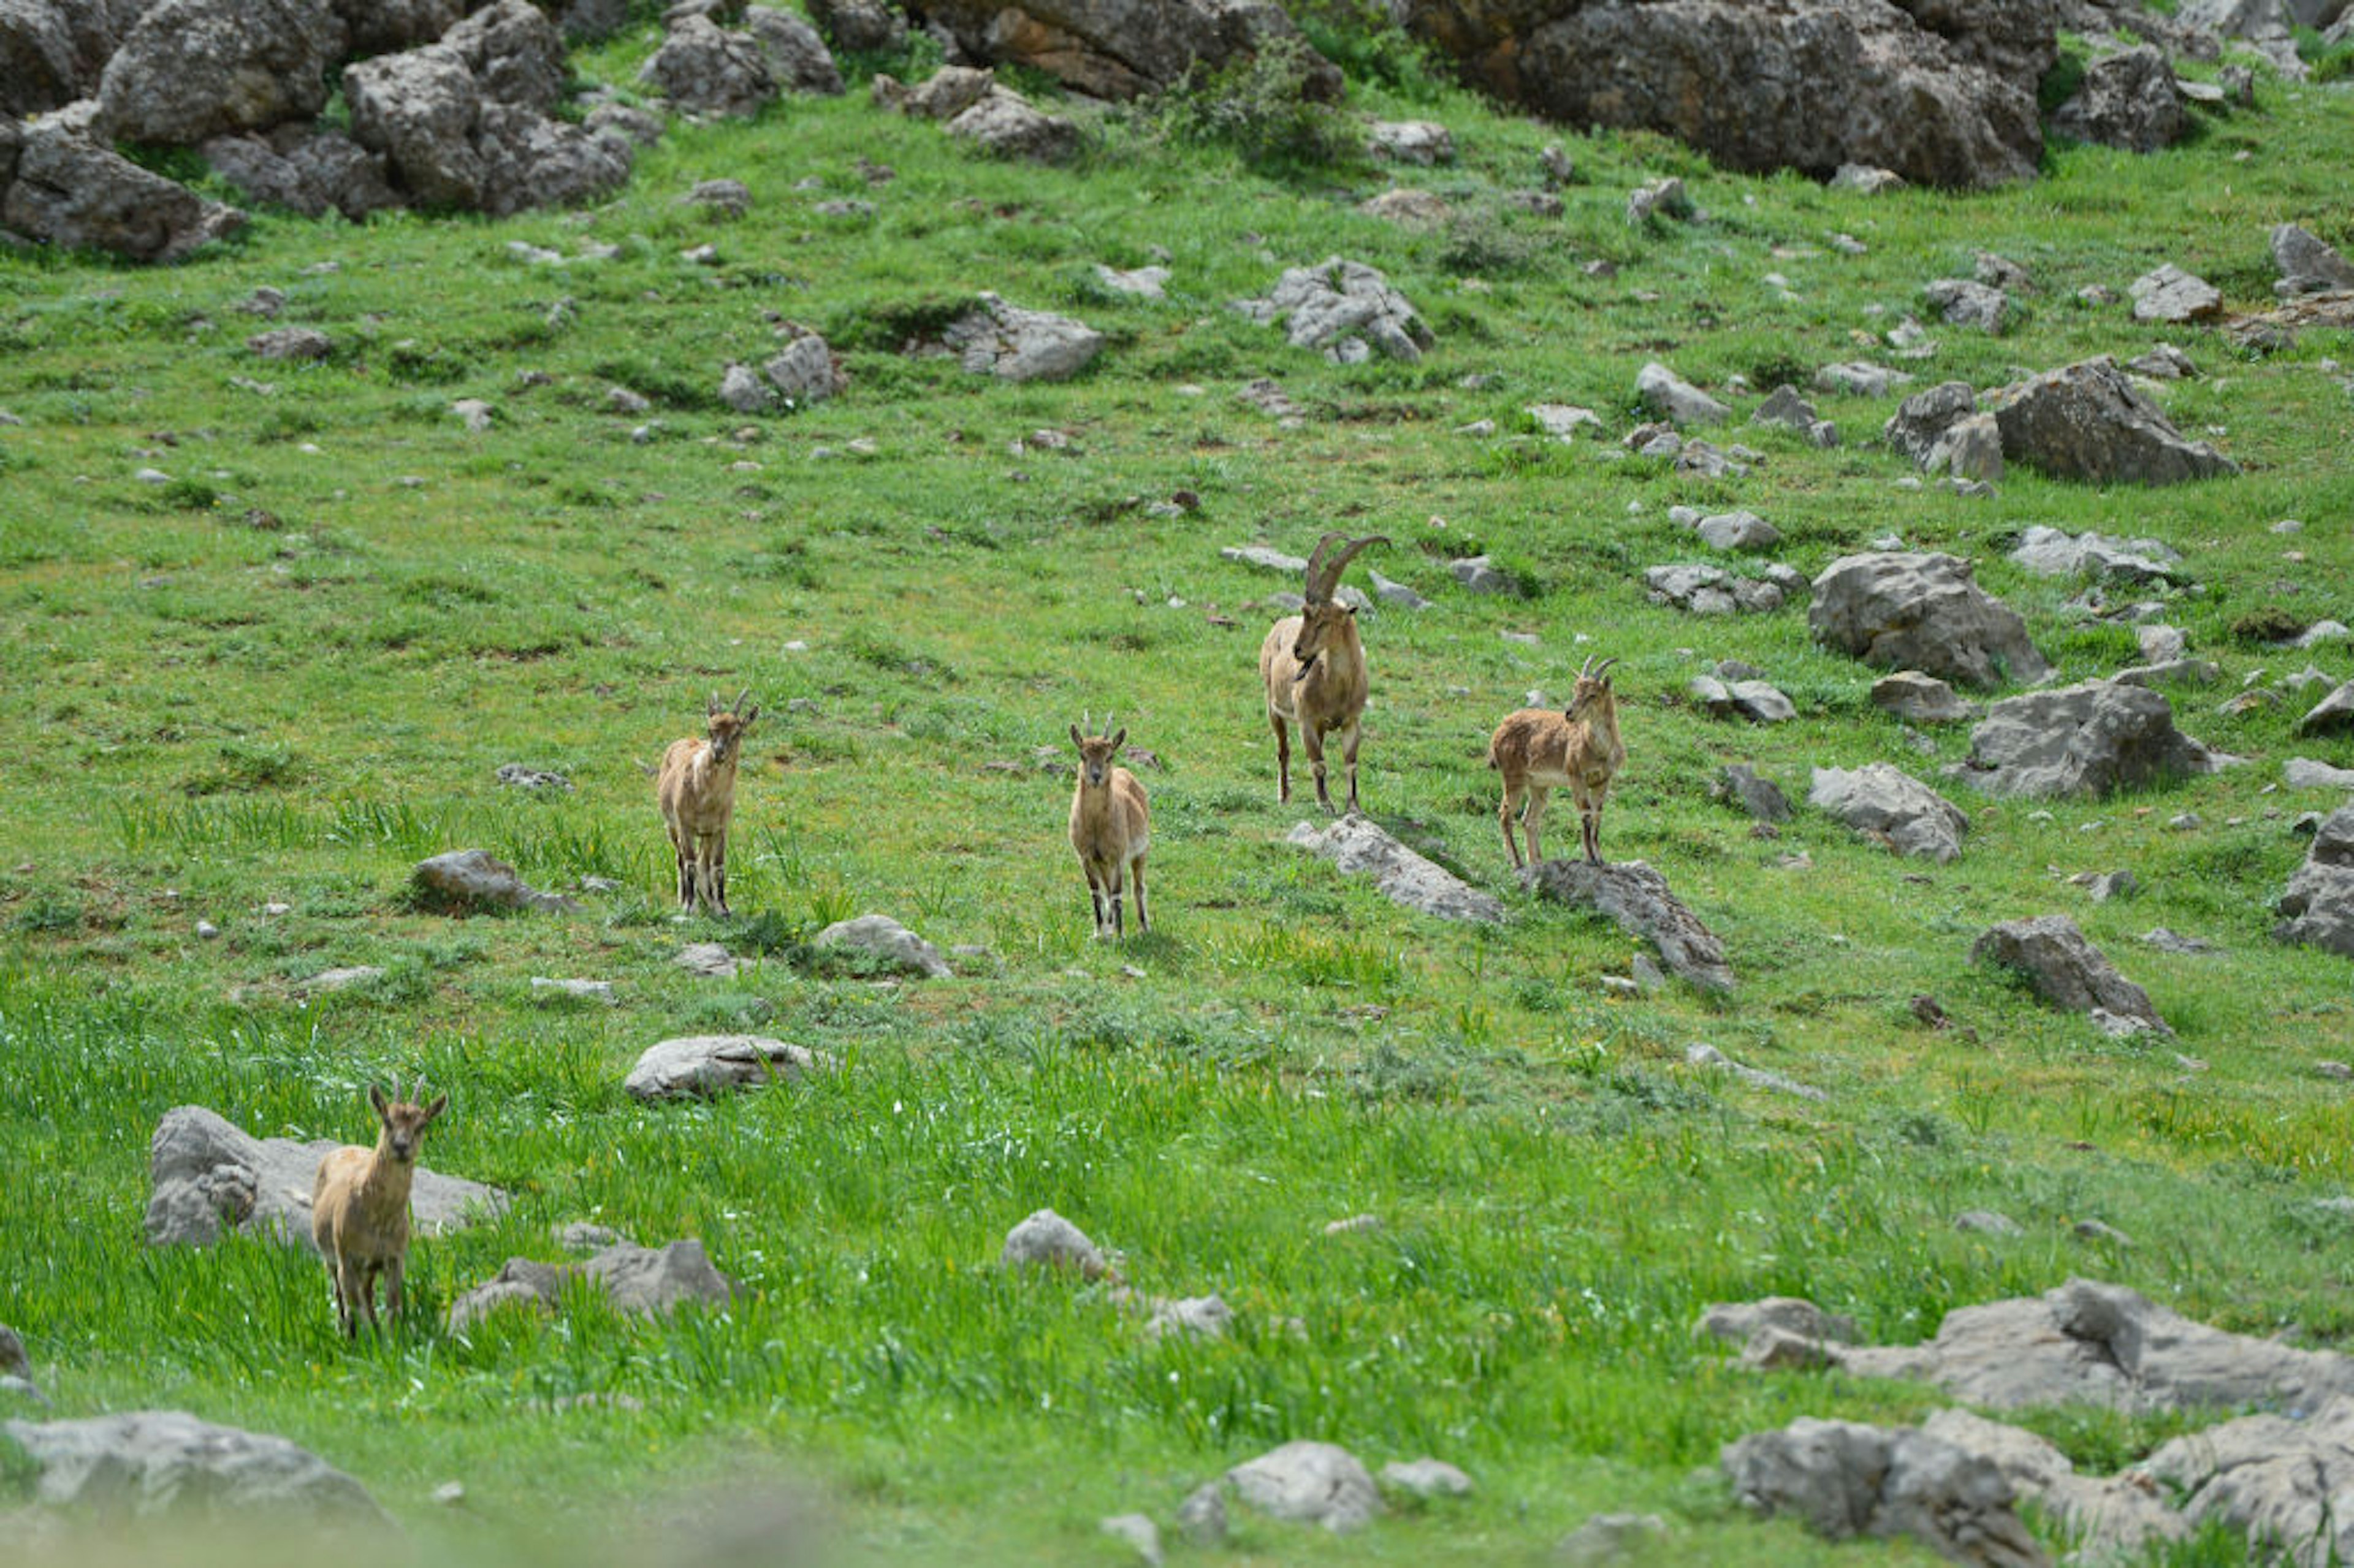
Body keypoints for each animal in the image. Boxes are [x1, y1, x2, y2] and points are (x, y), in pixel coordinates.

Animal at [308, 1083, 444, 1337]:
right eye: (387, 1120)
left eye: (422, 1124)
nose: (401, 1147)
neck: (378, 1218)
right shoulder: (347, 1258)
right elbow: (354, 1307)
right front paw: (361, 1340)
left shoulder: (394, 1258)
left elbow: (393, 1307)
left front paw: (390, 1341)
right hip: (331, 1256)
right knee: (341, 1295)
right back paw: (344, 1328)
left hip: (370, 1267)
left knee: (368, 1293)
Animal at [659, 687, 758, 918]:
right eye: (711, 730)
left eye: (738, 732)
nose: (719, 752)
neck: (705, 799)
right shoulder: (685, 826)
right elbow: (689, 863)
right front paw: (689, 906)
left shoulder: (720, 829)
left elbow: (718, 866)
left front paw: (722, 907)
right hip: (672, 826)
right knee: (680, 859)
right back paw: (685, 898)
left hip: (705, 835)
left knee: (704, 862)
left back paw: (709, 899)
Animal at [1068, 715, 1148, 932]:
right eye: (1082, 755)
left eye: (1109, 755)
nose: (1096, 776)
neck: (1096, 825)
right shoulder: (1087, 857)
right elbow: (1097, 894)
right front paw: (1099, 932)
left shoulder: (1118, 856)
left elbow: (1117, 894)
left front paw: (1120, 935)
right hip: (1103, 863)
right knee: (1107, 888)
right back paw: (1110, 924)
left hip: (1140, 853)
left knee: (1138, 887)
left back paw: (1144, 927)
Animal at [1262, 532, 1384, 810]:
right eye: (1306, 614)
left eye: (1324, 621)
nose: (1298, 651)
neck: (1337, 688)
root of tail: (1278, 626)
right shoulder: (1306, 721)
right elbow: (1318, 763)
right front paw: (1325, 804)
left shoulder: (1352, 722)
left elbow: (1351, 765)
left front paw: (1354, 806)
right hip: (1273, 707)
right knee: (1283, 751)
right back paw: (1284, 796)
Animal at [1478, 650, 1629, 866]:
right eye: (1575, 690)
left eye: (1593, 694)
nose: (1569, 714)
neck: (1598, 749)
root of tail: (1499, 731)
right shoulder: (1576, 776)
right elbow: (1586, 814)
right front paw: (1590, 858)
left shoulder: (1602, 780)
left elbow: (1597, 815)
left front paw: (1600, 858)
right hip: (1513, 776)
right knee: (1505, 813)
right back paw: (1516, 861)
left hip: (1539, 784)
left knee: (1529, 820)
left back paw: (1536, 862)